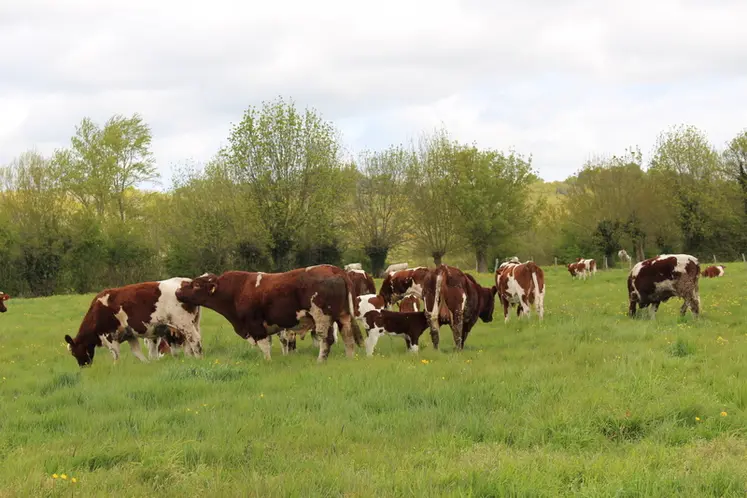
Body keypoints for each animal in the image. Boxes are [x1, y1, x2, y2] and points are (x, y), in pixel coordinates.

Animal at [63, 278, 203, 367]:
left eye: (74, 352)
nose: (83, 366)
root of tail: (187, 281)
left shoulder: (109, 336)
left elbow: (115, 354)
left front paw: (116, 367)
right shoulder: (129, 335)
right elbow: (137, 352)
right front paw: (147, 364)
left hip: (184, 323)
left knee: (194, 339)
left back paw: (198, 358)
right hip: (191, 323)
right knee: (188, 342)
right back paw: (190, 358)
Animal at [175, 265, 364, 362]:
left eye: (196, 284)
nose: (178, 291)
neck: (237, 290)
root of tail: (334, 269)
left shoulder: (255, 324)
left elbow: (264, 346)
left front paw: (267, 361)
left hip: (322, 317)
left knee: (327, 339)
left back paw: (320, 360)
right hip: (343, 316)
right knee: (348, 337)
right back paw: (349, 358)